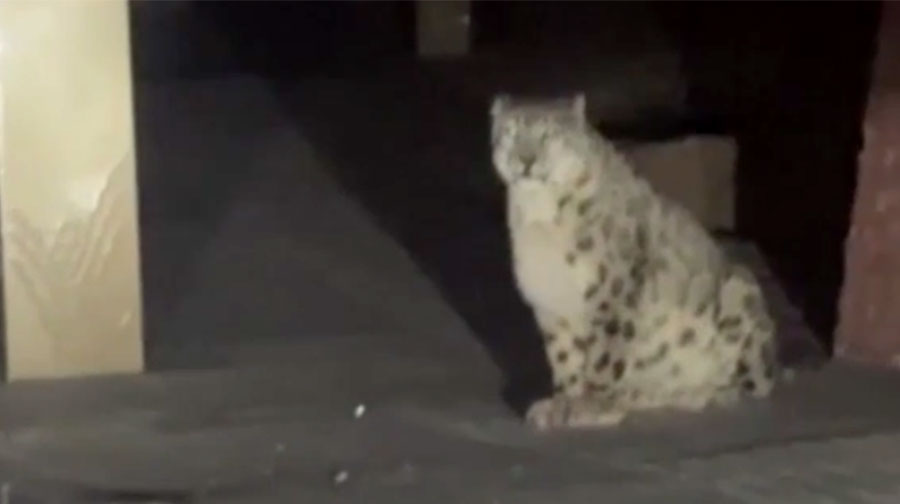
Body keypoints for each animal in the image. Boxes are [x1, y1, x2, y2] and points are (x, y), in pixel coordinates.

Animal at [489, 92, 781, 430]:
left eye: (550, 135)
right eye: (510, 133)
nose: (526, 159)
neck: (539, 220)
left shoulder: (610, 291)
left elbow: (603, 354)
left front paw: (591, 406)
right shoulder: (552, 305)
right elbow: (564, 357)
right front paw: (561, 403)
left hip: (739, 294)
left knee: (754, 385)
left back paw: (694, 392)